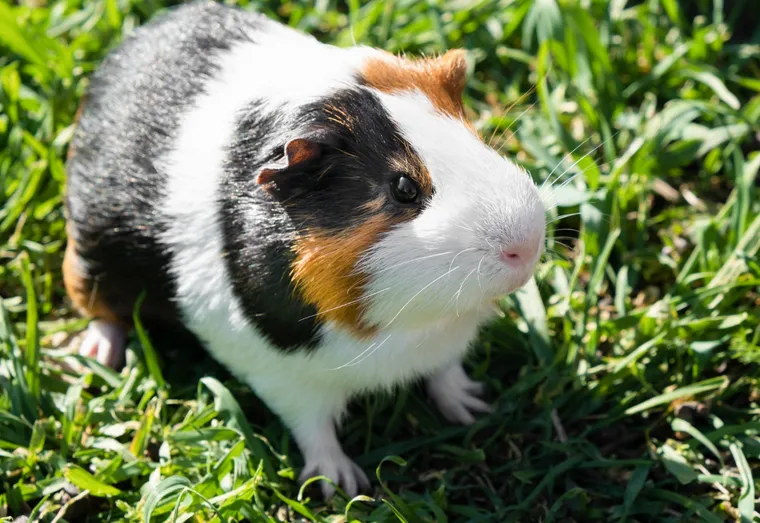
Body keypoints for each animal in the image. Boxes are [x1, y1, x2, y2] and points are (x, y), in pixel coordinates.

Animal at [63, 0, 546, 497]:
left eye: (476, 140)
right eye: (404, 188)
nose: (527, 244)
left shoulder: (443, 347)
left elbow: (446, 374)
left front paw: (475, 407)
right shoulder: (283, 375)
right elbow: (314, 429)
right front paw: (341, 487)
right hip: (91, 263)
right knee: (101, 312)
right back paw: (95, 358)